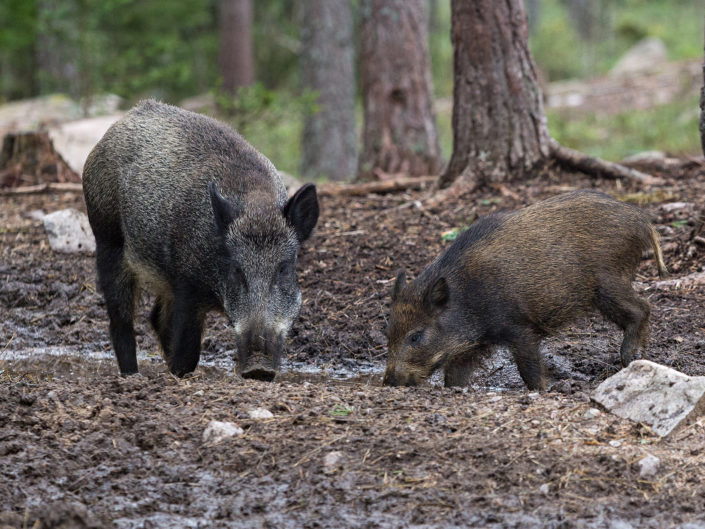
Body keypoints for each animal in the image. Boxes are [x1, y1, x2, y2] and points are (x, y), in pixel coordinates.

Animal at [82, 100, 319, 380]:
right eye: (237, 269)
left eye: (284, 268)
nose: (258, 368)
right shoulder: (186, 284)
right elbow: (187, 350)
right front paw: (179, 374)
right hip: (107, 238)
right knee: (121, 319)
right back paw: (132, 375)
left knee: (155, 318)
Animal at [383, 190, 668, 390]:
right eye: (389, 331)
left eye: (415, 336)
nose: (388, 381)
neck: (466, 298)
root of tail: (642, 220)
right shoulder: (469, 348)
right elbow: (454, 378)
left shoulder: (519, 327)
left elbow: (529, 369)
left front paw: (542, 391)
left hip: (608, 283)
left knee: (643, 308)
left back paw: (630, 358)